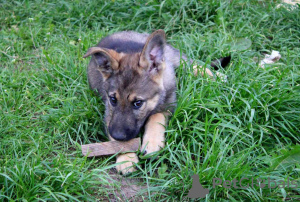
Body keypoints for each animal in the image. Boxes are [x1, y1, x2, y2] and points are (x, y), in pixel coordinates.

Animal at [83, 30, 229, 175]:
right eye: (113, 100)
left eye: (138, 103)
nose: (117, 135)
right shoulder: (109, 115)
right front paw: (126, 158)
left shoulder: (168, 103)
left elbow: (156, 117)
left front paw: (151, 143)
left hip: (172, 56)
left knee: (192, 63)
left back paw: (215, 76)